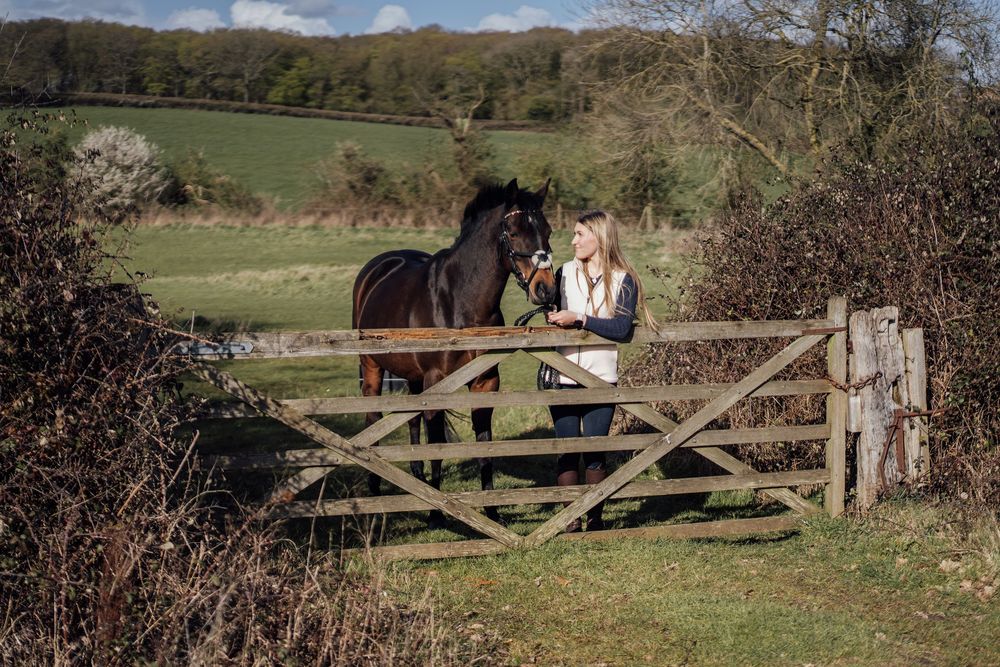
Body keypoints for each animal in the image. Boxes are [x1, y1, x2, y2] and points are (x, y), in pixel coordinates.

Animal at [352, 178, 557, 528]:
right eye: (514, 232)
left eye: (548, 231)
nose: (545, 288)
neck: (461, 304)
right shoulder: (437, 383)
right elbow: (437, 446)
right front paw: (437, 512)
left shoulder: (486, 383)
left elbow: (483, 445)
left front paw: (492, 512)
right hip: (373, 369)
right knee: (374, 419)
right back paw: (376, 493)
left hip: (413, 379)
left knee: (412, 421)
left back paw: (416, 480)